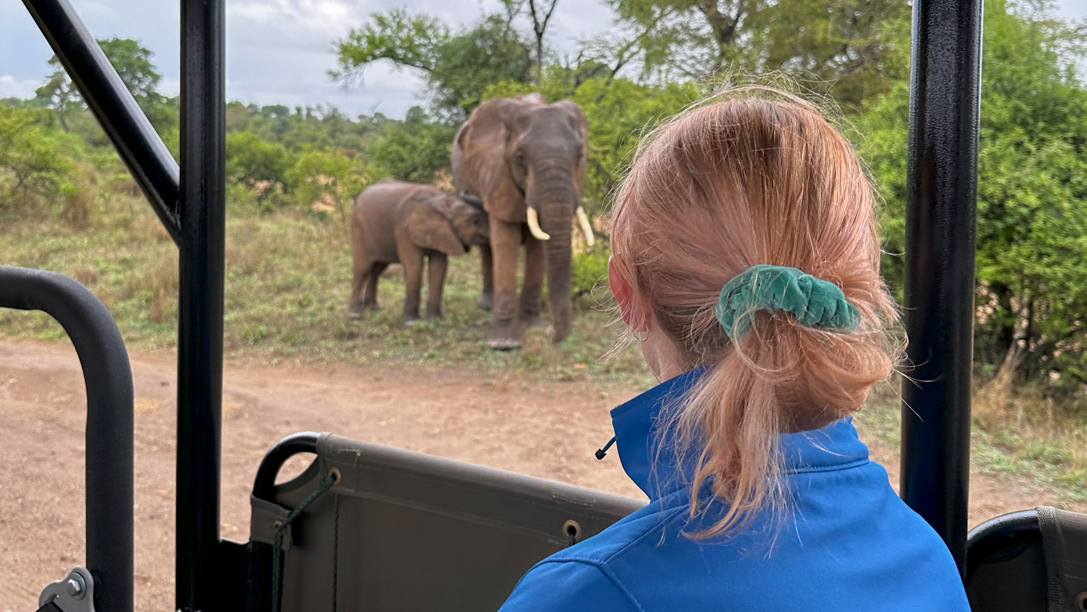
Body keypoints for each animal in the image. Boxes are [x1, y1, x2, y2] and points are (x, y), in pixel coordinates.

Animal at [347, 179, 490, 324]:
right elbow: (414, 266)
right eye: (475, 221)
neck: (444, 202)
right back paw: (354, 314)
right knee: (363, 268)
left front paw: (435, 320)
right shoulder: (404, 229)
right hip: (360, 229)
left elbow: (439, 267)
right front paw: (412, 322)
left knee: (377, 269)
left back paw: (374, 310)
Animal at [452, 94, 594, 350]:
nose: (549, 332)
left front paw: (532, 326)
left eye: (580, 156)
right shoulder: (497, 174)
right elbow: (505, 241)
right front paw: (504, 343)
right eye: (519, 158)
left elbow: (538, 248)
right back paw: (487, 304)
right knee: (488, 246)